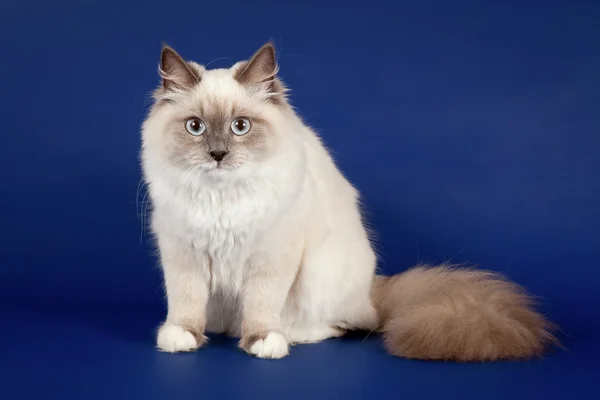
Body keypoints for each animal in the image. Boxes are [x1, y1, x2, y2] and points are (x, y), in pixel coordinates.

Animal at [142, 42, 556, 360]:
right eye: (195, 127)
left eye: (240, 127)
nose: (218, 154)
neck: (221, 198)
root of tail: (372, 289)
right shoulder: (182, 253)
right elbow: (185, 300)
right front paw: (182, 336)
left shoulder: (271, 256)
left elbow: (262, 304)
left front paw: (262, 341)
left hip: (317, 274)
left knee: (343, 324)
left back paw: (288, 334)